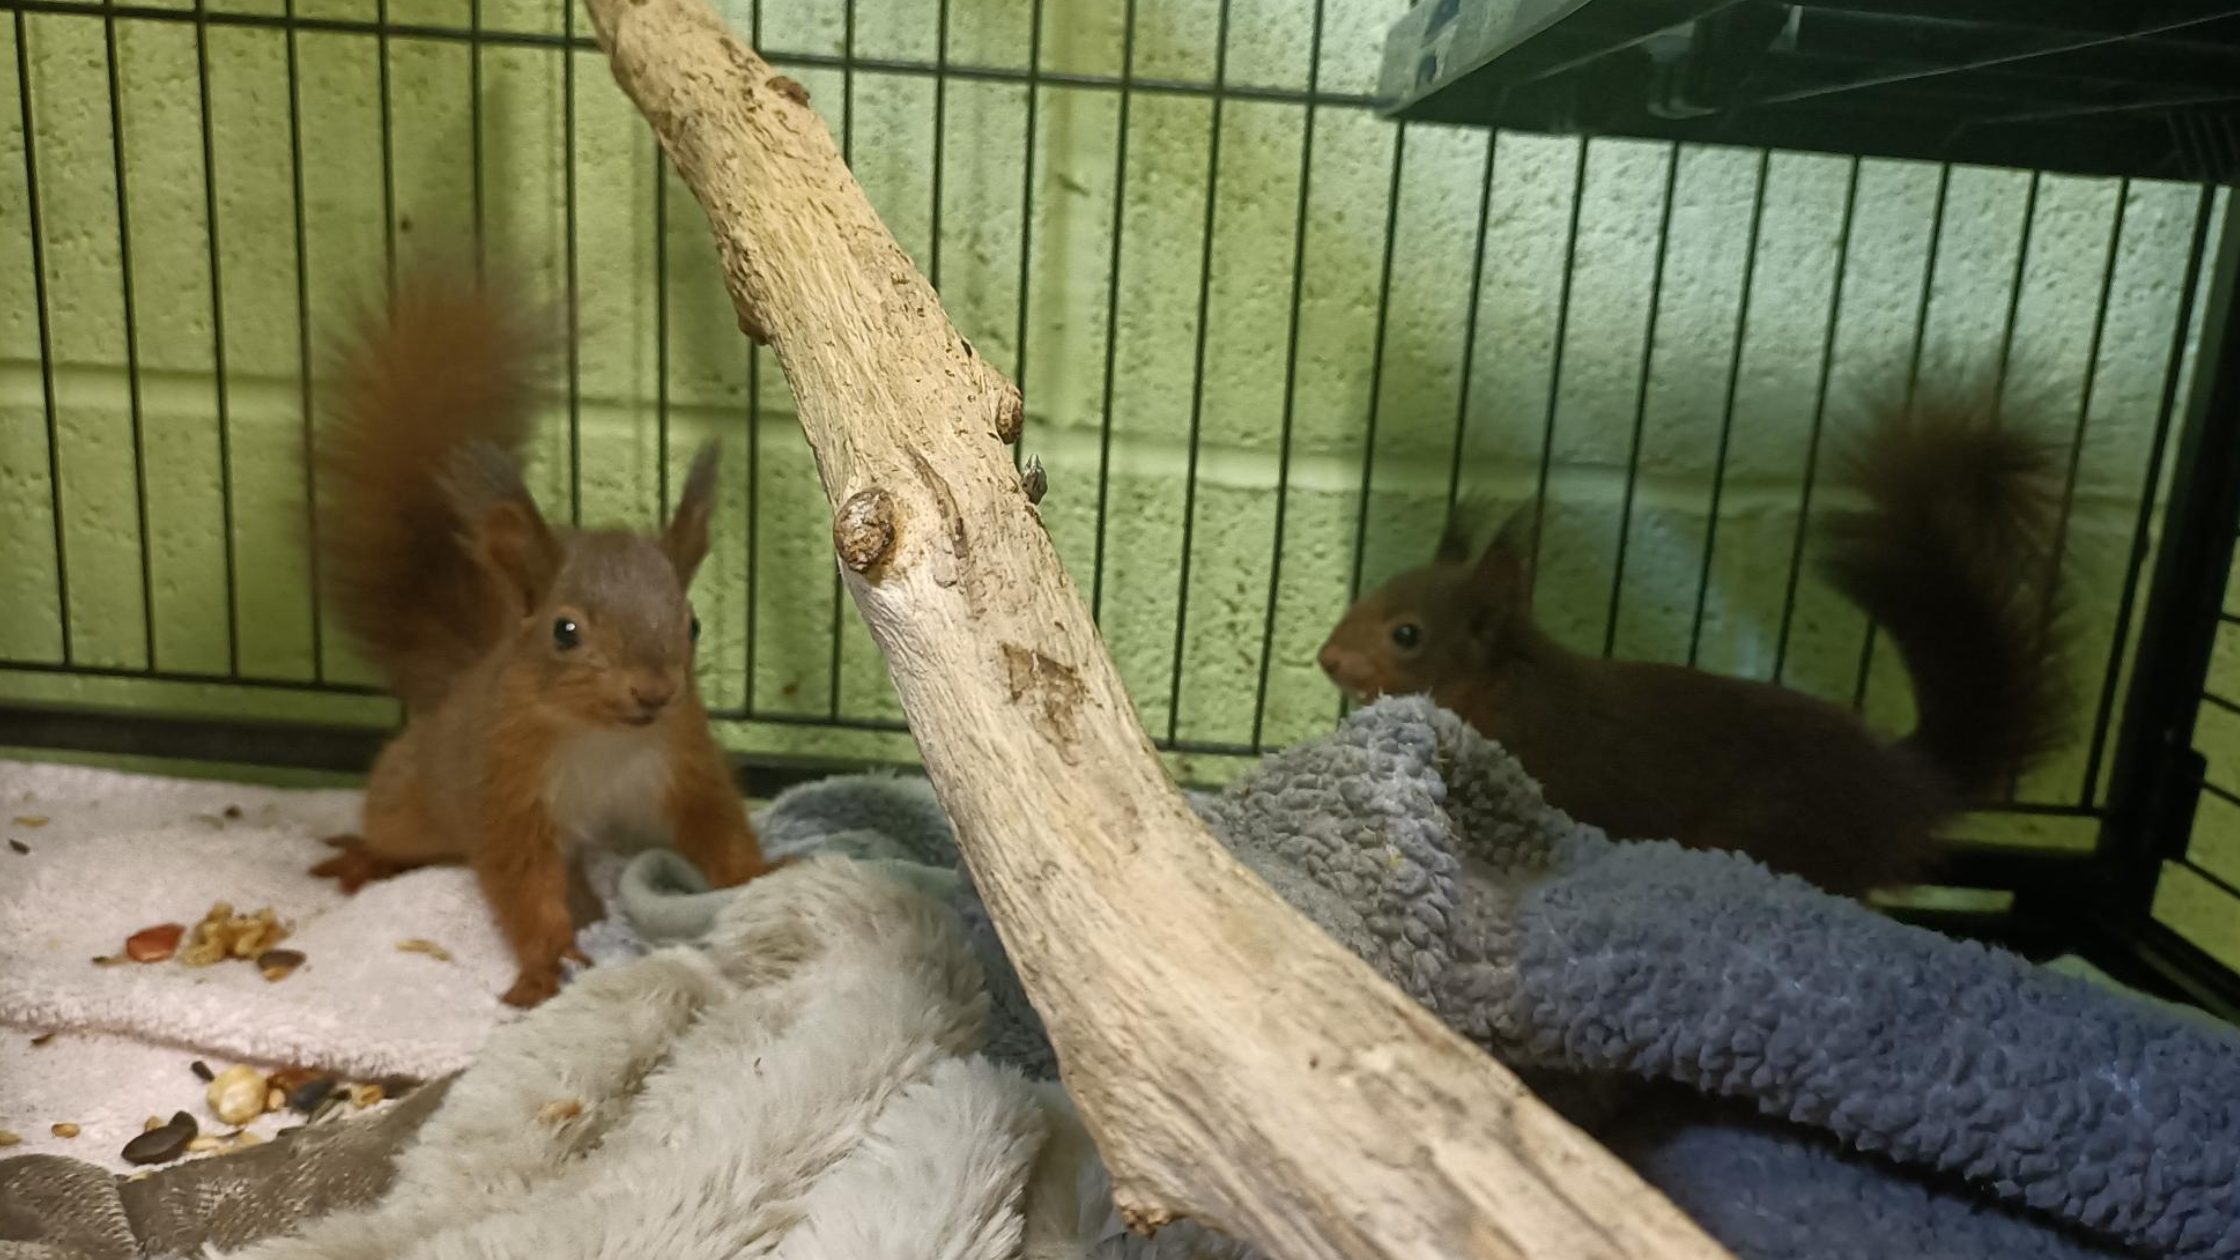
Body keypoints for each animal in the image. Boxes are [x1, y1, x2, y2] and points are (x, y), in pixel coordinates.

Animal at [308, 260, 776, 1007]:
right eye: (565, 631)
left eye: (694, 624)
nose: (654, 691)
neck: (602, 739)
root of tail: (459, 680)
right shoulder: (508, 787)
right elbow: (521, 880)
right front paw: (546, 961)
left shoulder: (681, 761)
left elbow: (716, 826)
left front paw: (762, 874)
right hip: (416, 798)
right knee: (398, 830)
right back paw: (364, 857)